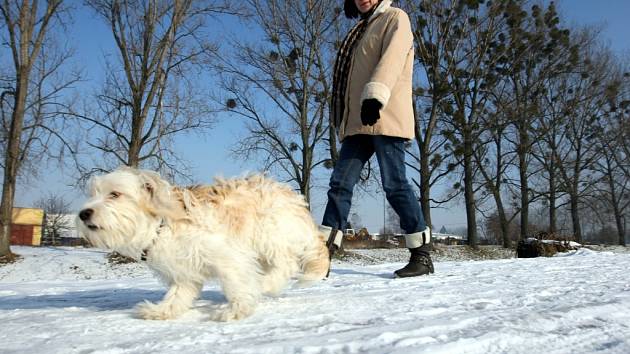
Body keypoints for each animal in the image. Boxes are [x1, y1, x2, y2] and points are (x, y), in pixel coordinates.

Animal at [76, 167, 330, 320]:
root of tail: (298, 204)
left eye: (115, 194)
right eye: (93, 194)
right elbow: (177, 295)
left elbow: (237, 285)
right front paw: (161, 311)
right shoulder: (183, 274)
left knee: (286, 265)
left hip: (269, 234)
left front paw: (236, 309)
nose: (83, 213)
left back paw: (265, 284)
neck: (161, 226)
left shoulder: (229, 257)